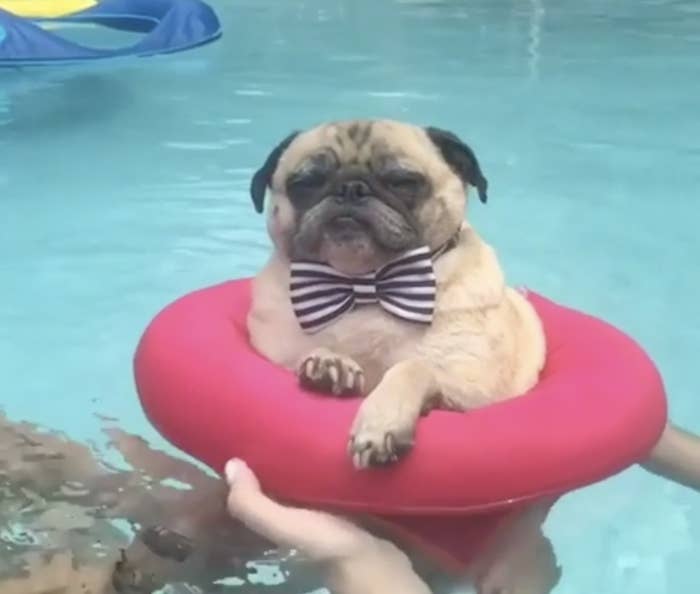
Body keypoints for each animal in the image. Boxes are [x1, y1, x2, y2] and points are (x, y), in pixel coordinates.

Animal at [227, 117, 696, 592]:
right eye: (305, 183)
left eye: (403, 181)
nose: (350, 189)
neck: (366, 288)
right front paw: (329, 366)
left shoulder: (475, 393)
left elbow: (413, 367)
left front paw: (382, 421)